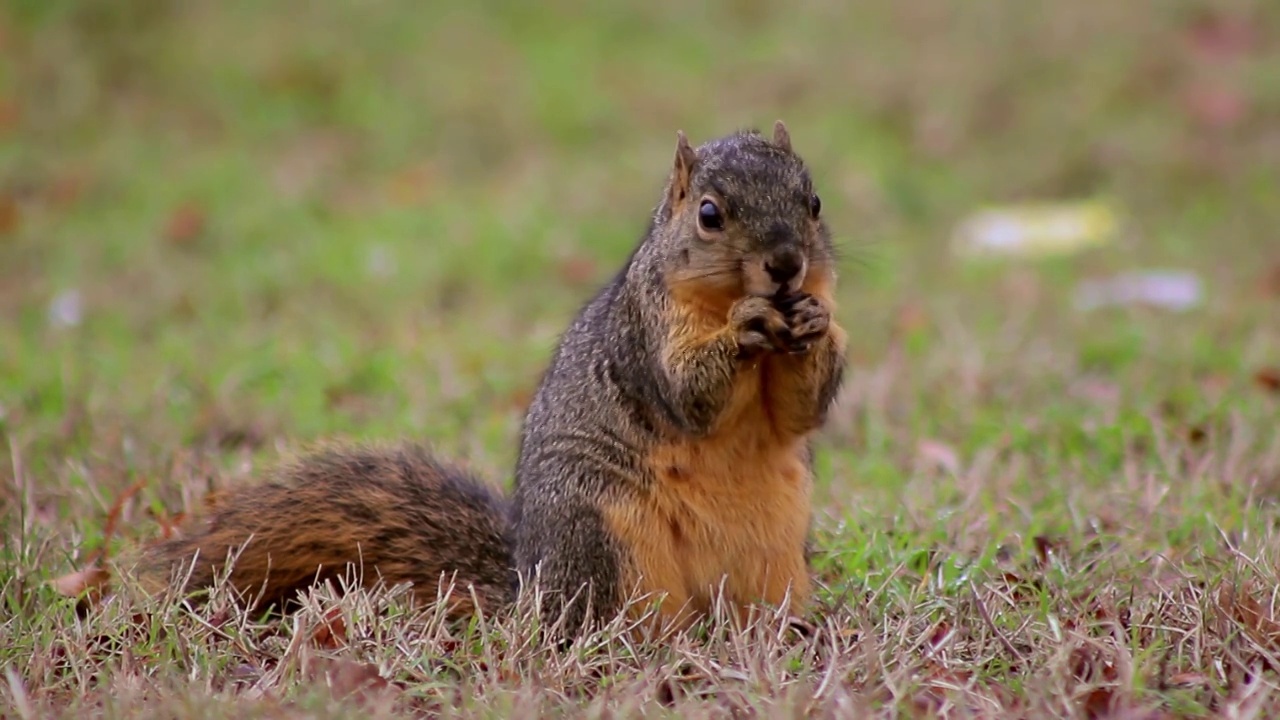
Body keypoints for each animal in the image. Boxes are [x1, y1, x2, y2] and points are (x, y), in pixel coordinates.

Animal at [135, 120, 844, 640]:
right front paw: (747, 325)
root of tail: (530, 588)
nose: (786, 263)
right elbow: (690, 393)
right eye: (709, 214)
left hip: (775, 551)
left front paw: (816, 325)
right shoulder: (645, 335)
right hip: (603, 536)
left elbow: (800, 411)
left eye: (813, 202)